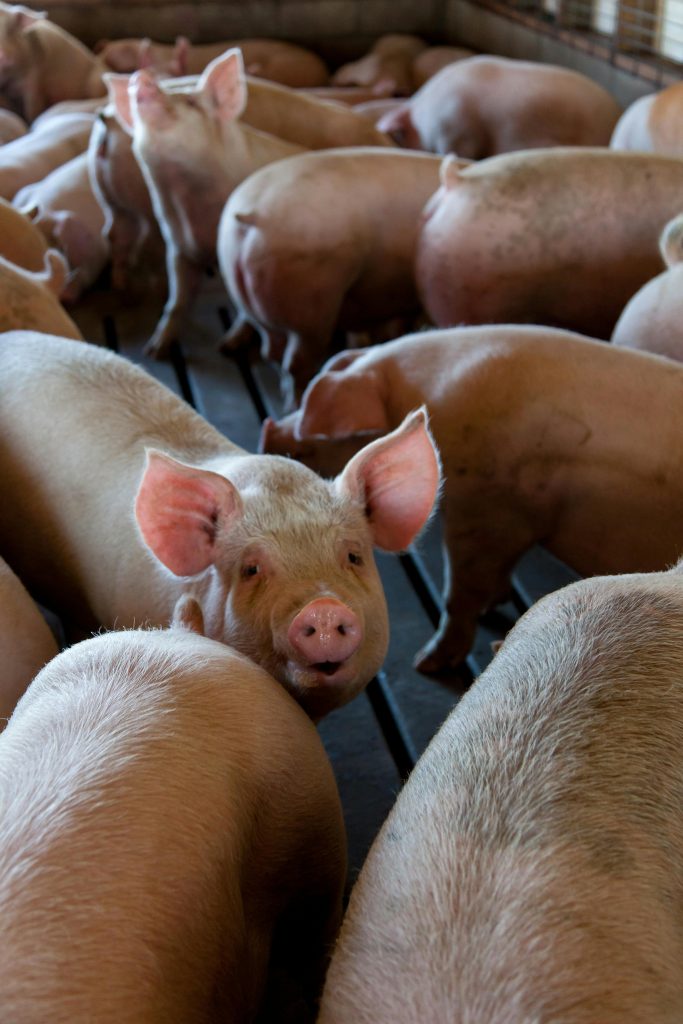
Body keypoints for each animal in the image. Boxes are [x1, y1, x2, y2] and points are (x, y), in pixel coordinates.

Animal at [218, 146, 443, 407]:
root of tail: (253, 216)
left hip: (254, 303)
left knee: (271, 352)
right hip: (311, 308)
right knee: (296, 363)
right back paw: (296, 403)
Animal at [261, 324, 683, 675]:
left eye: (313, 431)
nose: (269, 431)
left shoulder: (487, 512)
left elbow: (460, 593)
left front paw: (426, 664)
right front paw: (496, 602)